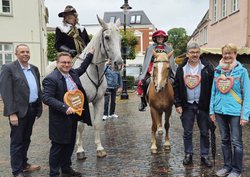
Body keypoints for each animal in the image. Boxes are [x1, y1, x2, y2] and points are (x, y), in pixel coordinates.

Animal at [73, 15, 122, 159]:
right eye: (107, 37)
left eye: (120, 38)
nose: (118, 63)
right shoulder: (81, 102)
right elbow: (81, 126)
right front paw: (80, 150)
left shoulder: (99, 100)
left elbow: (97, 124)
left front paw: (99, 148)